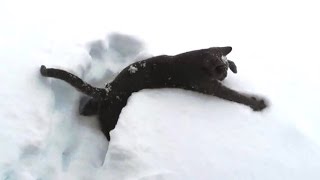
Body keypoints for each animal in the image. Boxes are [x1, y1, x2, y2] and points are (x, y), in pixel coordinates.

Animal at [40, 46, 268, 141]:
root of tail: (108, 90)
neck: (198, 60)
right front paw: (258, 104)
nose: (224, 75)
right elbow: (237, 95)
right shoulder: (211, 87)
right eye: (220, 71)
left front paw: (234, 64)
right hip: (113, 118)